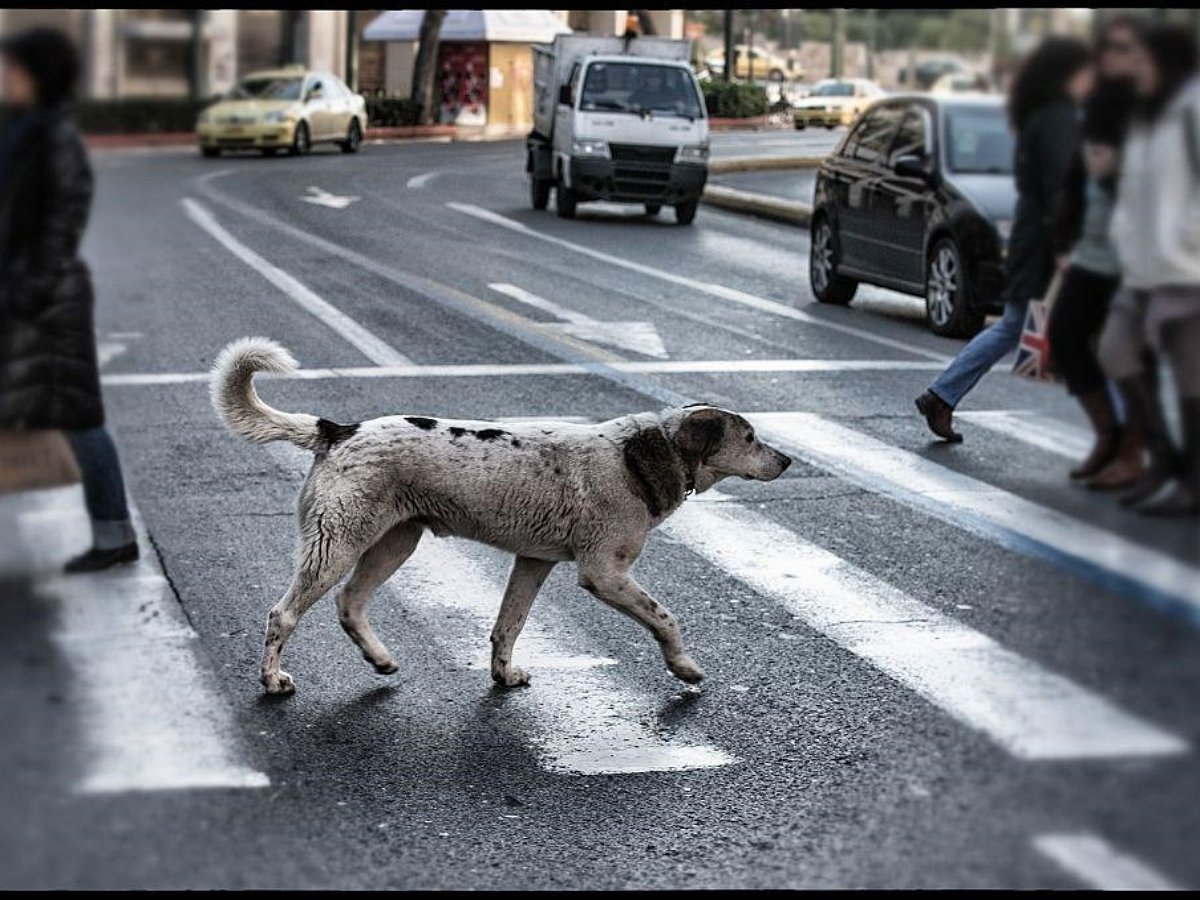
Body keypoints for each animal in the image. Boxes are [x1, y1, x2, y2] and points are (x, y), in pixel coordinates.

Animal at [211, 338, 792, 696]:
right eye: (749, 437)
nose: (787, 461)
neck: (644, 453)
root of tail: (336, 430)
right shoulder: (604, 572)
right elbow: (665, 616)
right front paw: (684, 666)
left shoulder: (533, 562)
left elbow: (507, 625)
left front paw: (503, 676)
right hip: (337, 542)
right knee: (283, 614)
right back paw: (273, 680)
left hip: (395, 542)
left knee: (350, 604)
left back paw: (380, 659)